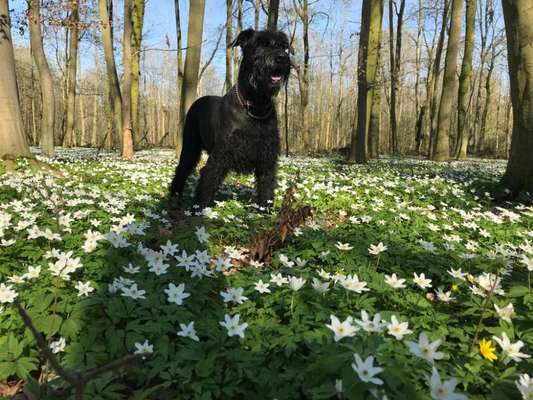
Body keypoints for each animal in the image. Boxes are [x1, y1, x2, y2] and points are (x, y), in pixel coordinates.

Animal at [169, 28, 290, 209]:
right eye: (260, 44)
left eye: (284, 46)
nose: (281, 57)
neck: (256, 105)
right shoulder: (220, 155)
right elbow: (208, 183)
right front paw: (198, 209)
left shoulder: (267, 158)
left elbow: (266, 186)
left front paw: (264, 210)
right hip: (190, 147)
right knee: (182, 169)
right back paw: (174, 196)